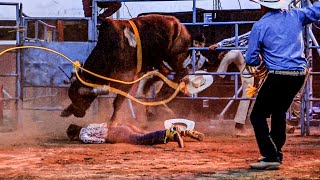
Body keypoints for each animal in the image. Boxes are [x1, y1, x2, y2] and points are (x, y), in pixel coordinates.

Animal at [60, 14, 190, 124]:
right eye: (72, 98)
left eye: (82, 99)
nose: (78, 113)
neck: (109, 49)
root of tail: (177, 23)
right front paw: (66, 111)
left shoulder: (127, 79)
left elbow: (117, 102)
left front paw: (112, 122)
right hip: (158, 60)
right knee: (164, 73)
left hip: (174, 57)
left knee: (181, 72)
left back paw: (160, 97)